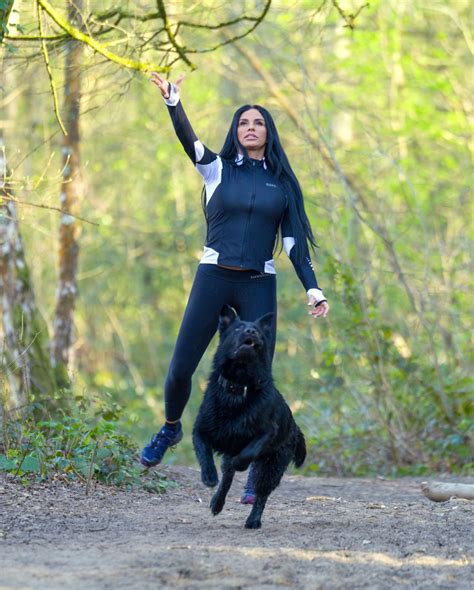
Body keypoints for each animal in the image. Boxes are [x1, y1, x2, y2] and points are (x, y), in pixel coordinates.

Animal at [193, 306, 308, 532]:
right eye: (238, 328)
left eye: (258, 332)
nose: (251, 332)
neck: (238, 386)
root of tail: (295, 427)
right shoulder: (201, 429)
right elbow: (204, 454)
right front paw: (209, 476)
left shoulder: (267, 432)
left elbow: (247, 453)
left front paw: (238, 463)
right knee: (227, 481)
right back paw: (217, 503)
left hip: (271, 467)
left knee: (261, 494)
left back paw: (253, 520)